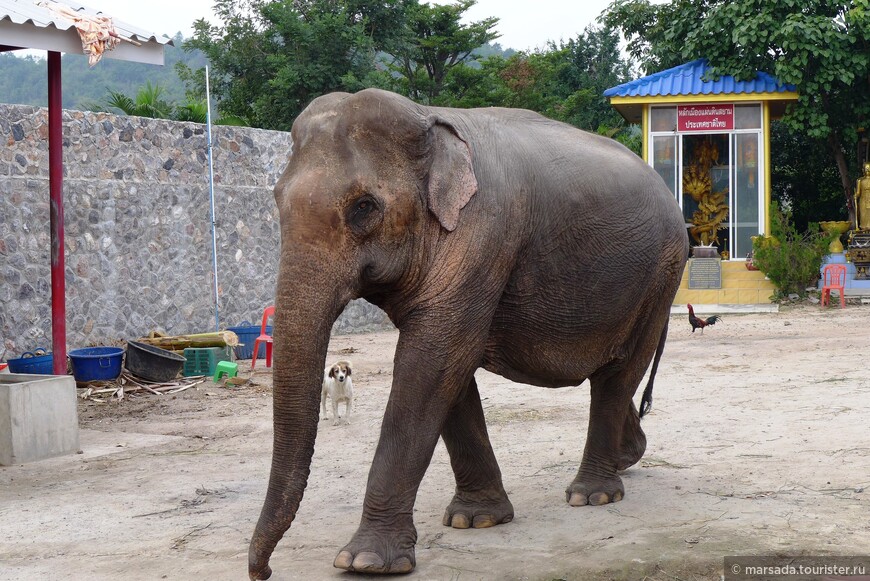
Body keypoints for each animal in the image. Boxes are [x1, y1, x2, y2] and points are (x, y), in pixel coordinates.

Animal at [249, 88, 692, 576]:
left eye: (364, 207)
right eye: (276, 200)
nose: (262, 571)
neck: (427, 117)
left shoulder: (483, 233)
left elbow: (432, 361)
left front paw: (363, 561)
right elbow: (449, 370)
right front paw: (475, 520)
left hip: (661, 274)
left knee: (618, 375)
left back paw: (591, 495)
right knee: (615, 375)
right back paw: (627, 457)